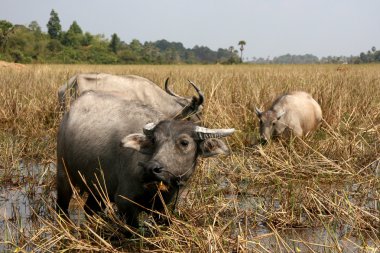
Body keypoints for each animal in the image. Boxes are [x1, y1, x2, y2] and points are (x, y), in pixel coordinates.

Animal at [55, 90, 235, 227]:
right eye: (155, 140)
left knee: (89, 210)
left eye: (184, 142)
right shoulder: (125, 203)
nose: (152, 169)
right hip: (63, 174)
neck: (154, 187)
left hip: (98, 187)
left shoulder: (163, 208)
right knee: (62, 207)